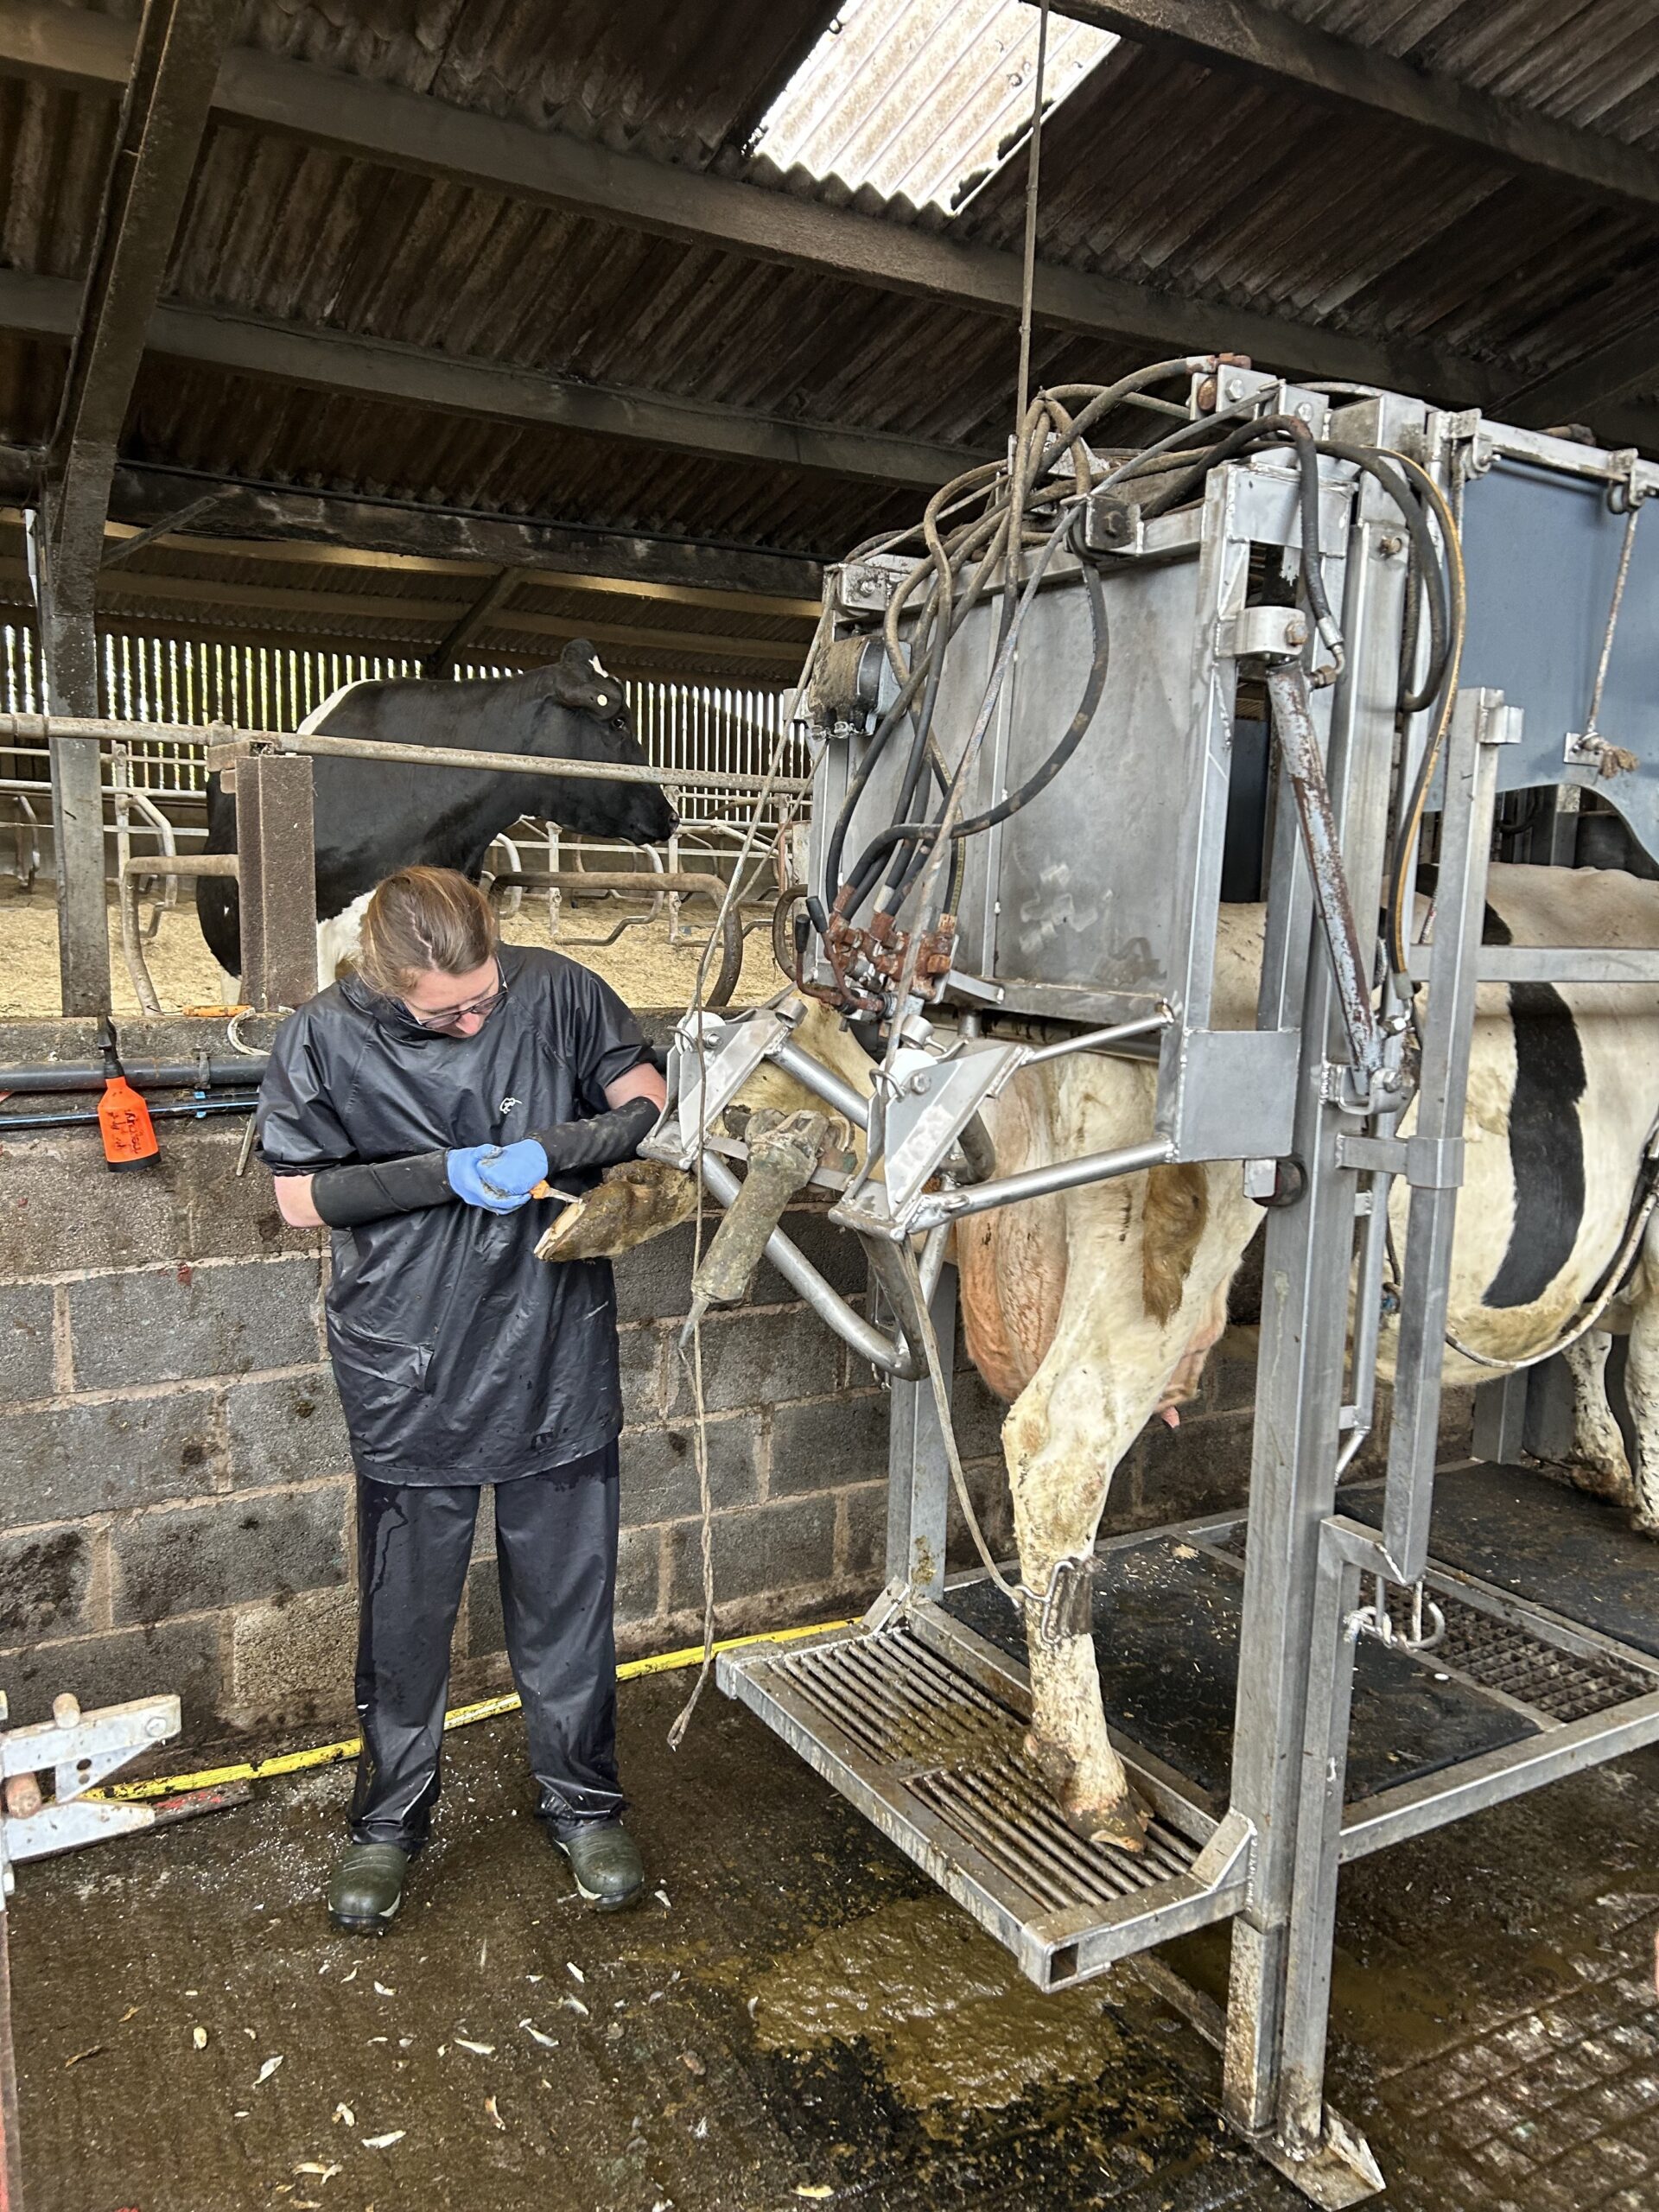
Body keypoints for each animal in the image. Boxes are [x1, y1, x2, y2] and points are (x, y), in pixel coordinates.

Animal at [542, 862, 1659, 1849]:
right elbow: (1636, 1357)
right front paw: (1641, 1495)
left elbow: (1603, 1339)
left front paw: (1608, 1465)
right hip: (1155, 1263)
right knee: (1055, 1451)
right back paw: (1091, 1778)